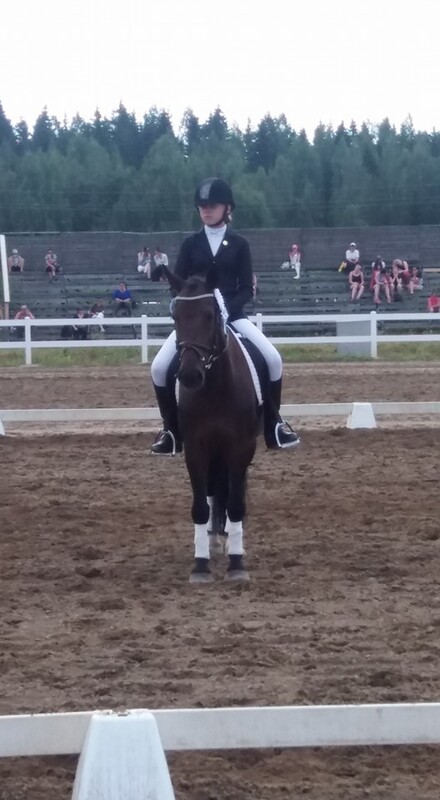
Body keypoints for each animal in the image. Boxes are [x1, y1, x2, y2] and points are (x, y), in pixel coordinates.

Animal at [165, 268, 262, 584]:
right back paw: (213, 540)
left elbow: (235, 503)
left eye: (210, 315)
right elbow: (200, 506)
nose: (190, 376)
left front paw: (237, 563)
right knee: (212, 494)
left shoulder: (241, 447)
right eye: (175, 317)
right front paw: (200, 565)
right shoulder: (196, 448)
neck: (215, 387)